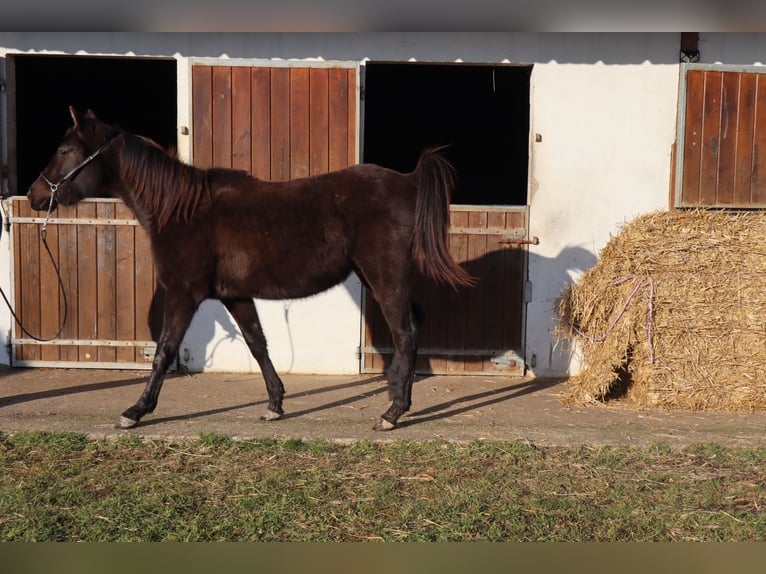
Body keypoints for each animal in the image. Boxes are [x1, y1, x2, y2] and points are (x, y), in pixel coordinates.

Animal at [28, 108, 474, 432]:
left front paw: (135, 411)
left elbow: (165, 350)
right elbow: (258, 344)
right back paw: (397, 401)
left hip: (385, 277)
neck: (181, 210)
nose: (34, 195)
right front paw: (275, 404)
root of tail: (408, 181)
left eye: (66, 151)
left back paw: (392, 412)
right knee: (411, 328)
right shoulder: (235, 295)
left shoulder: (183, 292)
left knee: (406, 333)